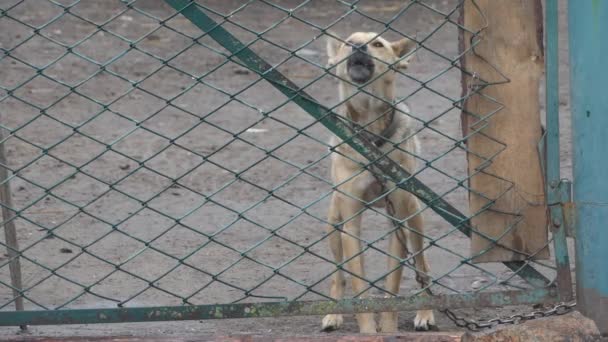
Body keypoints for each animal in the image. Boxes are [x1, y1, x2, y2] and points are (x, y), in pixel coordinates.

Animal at [320, 30, 434, 332]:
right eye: (348, 42)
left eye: (378, 44)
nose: (358, 47)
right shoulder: (350, 225)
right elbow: (358, 285)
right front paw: (369, 330)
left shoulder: (398, 221)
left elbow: (392, 283)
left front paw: (389, 328)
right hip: (333, 224)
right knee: (338, 274)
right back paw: (334, 313)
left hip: (415, 219)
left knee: (422, 267)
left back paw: (426, 312)